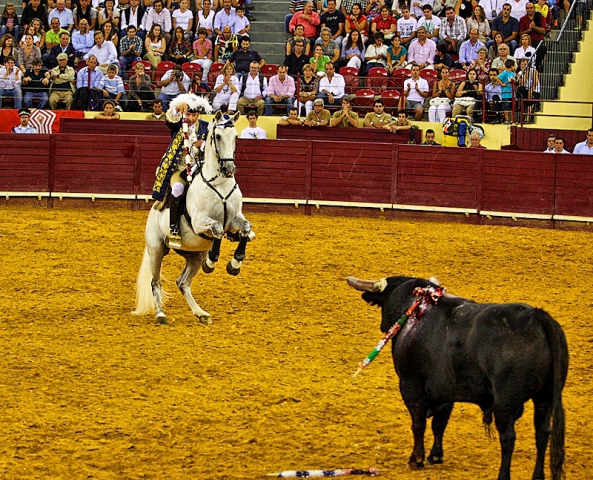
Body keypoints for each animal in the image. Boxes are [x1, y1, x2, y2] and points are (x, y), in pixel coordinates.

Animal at [133, 110, 253, 324]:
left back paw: (201, 313)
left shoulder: (234, 221)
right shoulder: (199, 222)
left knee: (182, 283)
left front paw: (234, 264)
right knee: (155, 282)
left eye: (236, 137)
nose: (229, 169)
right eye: (218, 136)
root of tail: (153, 212)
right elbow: (217, 228)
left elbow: (245, 228)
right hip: (156, 249)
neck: (219, 183)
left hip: (194, 255)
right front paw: (212, 261)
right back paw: (161, 315)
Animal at [350, 274, 568, 480]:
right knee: (542, 433)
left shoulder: (410, 385)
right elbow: (439, 423)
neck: (416, 309)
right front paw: (435, 455)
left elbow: (418, 424)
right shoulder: (445, 391)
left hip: (506, 403)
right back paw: (538, 475)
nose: (383, 326)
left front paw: (416, 459)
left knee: (508, 438)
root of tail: (536, 316)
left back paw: (503, 475)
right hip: (546, 397)